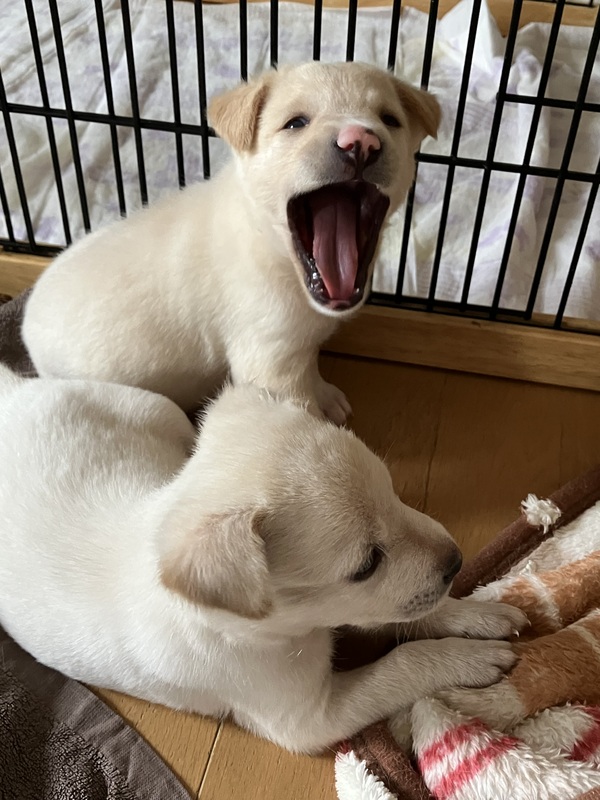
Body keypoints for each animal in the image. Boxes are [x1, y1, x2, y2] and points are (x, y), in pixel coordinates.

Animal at [0, 366, 526, 753]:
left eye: (394, 492)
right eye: (366, 565)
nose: (456, 561)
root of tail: (12, 389)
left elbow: (410, 616)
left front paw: (475, 614)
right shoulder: (309, 719)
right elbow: (401, 662)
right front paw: (468, 657)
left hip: (150, 408)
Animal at [22, 61, 441, 425]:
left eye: (390, 120)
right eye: (296, 123)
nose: (361, 141)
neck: (274, 248)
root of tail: (26, 322)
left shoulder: (297, 345)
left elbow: (310, 370)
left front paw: (326, 395)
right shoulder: (269, 360)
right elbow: (298, 409)